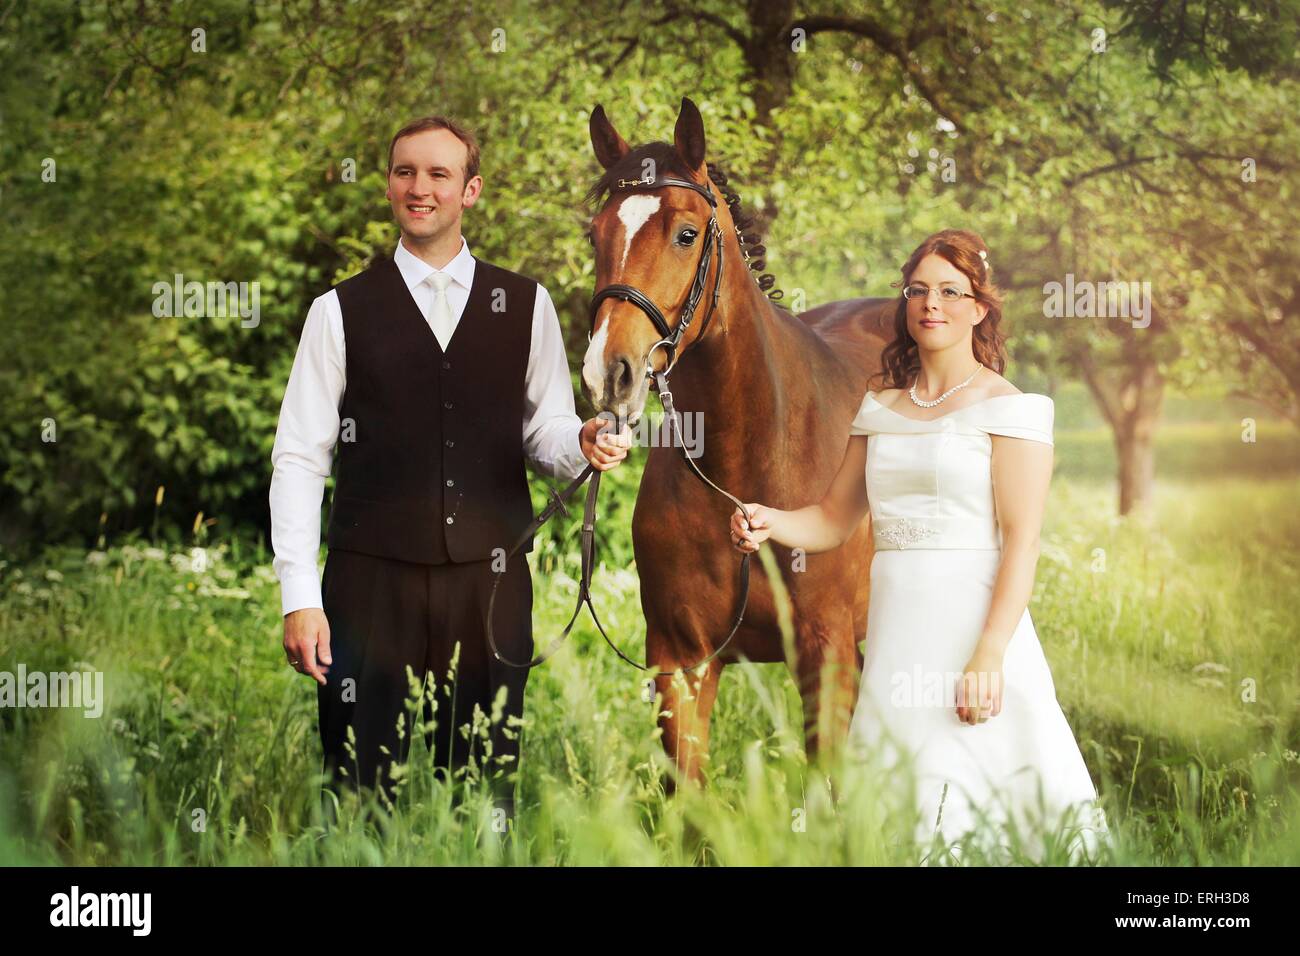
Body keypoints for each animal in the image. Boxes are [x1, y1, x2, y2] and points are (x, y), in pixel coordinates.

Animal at [585, 97, 899, 785]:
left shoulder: (825, 657)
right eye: (596, 234)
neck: (745, 467)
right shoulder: (681, 659)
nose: (609, 373)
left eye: (686, 234)